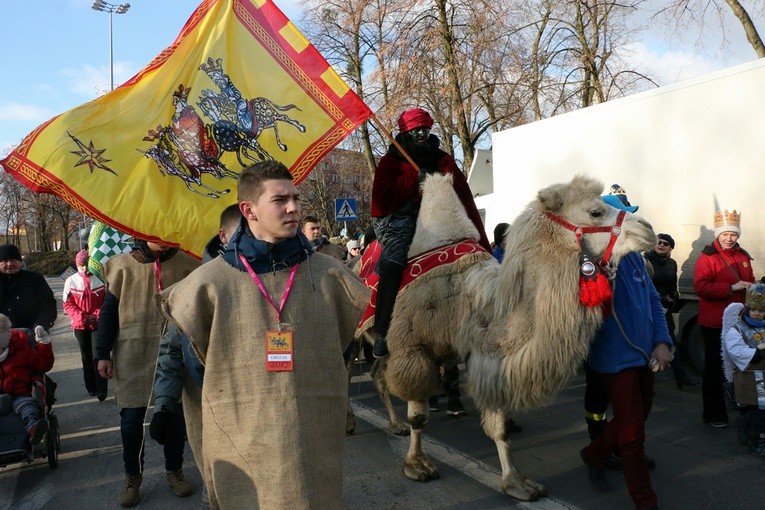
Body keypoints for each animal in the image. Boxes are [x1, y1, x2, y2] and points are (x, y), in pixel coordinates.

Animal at [360, 172, 656, 502]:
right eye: (595, 211)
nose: (648, 230)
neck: (467, 302)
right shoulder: (412, 348)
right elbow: (419, 417)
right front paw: (417, 465)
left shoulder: (488, 357)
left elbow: (499, 427)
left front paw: (516, 482)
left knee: (377, 372)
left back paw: (394, 423)